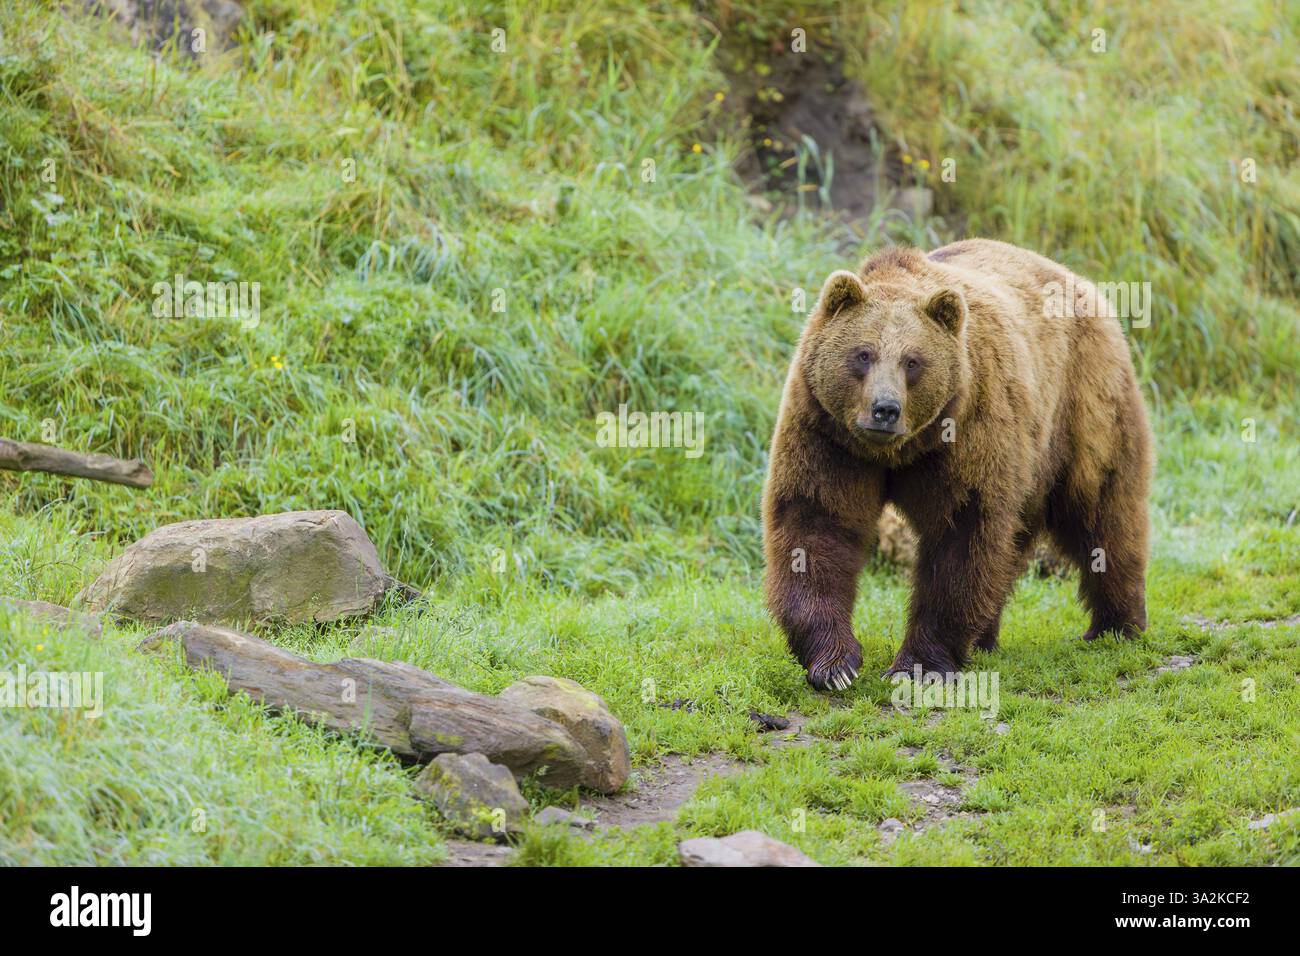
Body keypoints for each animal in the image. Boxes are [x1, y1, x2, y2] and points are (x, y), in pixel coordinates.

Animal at [762, 238, 1154, 690]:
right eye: (862, 354)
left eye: (913, 361)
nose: (885, 410)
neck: (898, 451)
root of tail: (1083, 283)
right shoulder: (827, 434)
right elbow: (815, 523)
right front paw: (835, 665)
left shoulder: (965, 431)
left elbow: (961, 534)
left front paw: (918, 666)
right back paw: (985, 637)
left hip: (1083, 407)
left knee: (1103, 512)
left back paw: (1116, 625)